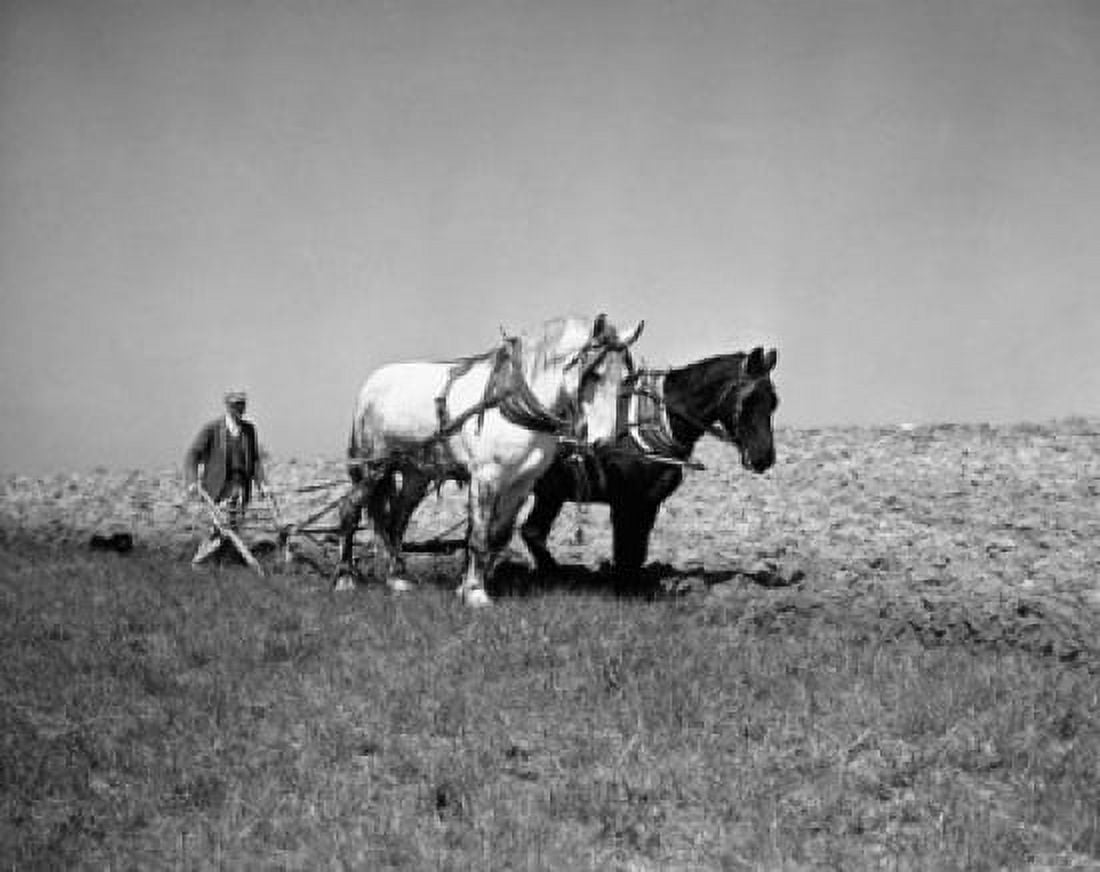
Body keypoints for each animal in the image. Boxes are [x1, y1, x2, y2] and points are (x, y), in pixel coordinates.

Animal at [335, 313, 644, 606]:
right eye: (594, 374)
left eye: (625, 379)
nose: (604, 441)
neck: (512, 400)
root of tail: (371, 385)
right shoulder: (487, 476)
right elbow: (479, 534)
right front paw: (475, 593)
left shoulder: (522, 483)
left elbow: (499, 534)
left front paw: (466, 587)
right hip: (372, 466)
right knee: (349, 509)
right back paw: (345, 579)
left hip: (416, 473)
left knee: (397, 520)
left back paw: (396, 579)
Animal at [520, 346, 779, 585]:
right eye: (748, 400)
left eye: (774, 402)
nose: (764, 457)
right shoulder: (626, 501)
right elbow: (625, 551)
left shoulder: (649, 502)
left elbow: (637, 551)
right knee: (532, 532)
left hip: (550, 494)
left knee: (532, 532)